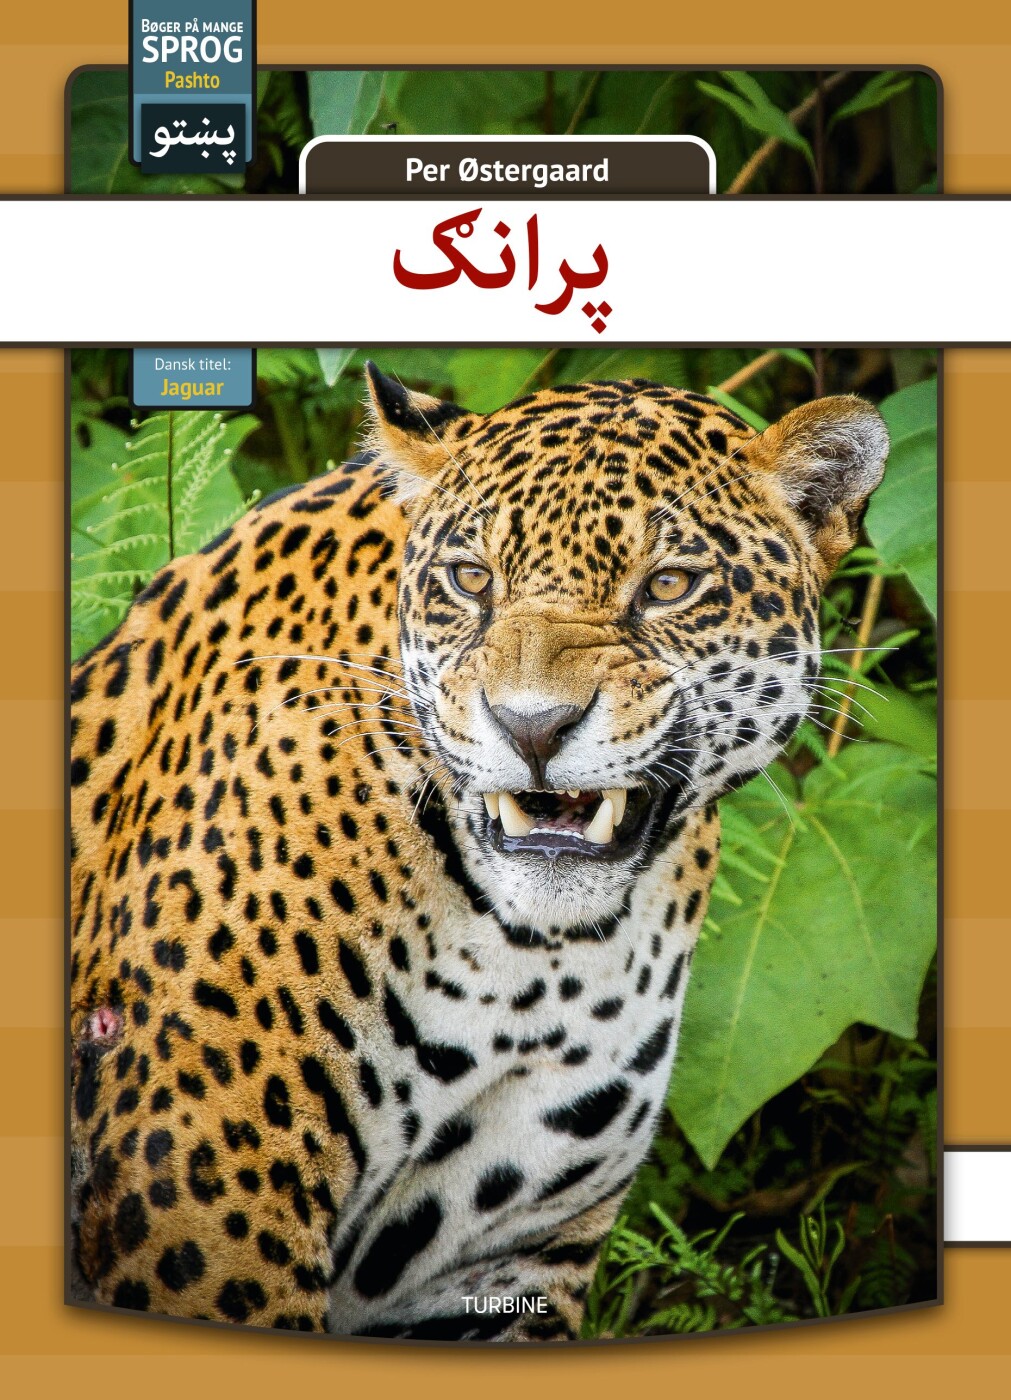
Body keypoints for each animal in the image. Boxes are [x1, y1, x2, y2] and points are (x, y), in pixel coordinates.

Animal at [68, 365, 887, 1341]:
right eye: (470, 580)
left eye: (668, 585)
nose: (531, 726)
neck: (530, 964)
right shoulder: (201, 1203)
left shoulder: (503, 1257)